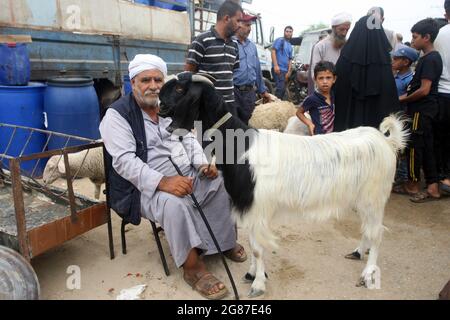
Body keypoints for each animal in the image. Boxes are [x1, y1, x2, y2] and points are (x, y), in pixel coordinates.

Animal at [158, 72, 408, 298]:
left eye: (180, 89)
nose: (158, 100)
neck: (240, 145)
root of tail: (385, 140)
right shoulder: (247, 207)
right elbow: (252, 244)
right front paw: (251, 273)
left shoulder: (256, 207)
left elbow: (257, 248)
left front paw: (258, 284)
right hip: (363, 198)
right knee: (368, 228)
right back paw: (357, 252)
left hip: (374, 196)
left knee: (377, 232)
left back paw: (368, 274)